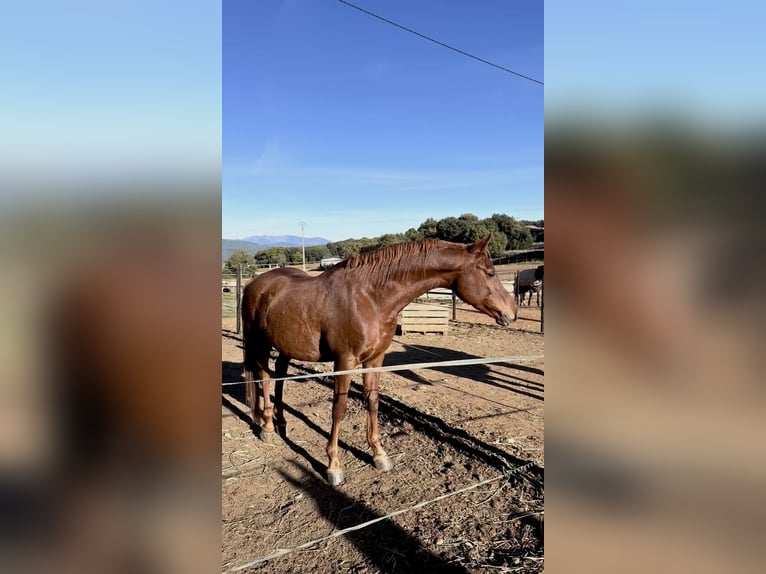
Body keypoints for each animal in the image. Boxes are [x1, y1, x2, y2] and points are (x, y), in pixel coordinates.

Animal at [241, 235, 517, 485]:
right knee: (264, 377)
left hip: (286, 345)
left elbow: (372, 401)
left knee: (279, 375)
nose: (512, 312)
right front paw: (333, 465)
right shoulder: (344, 362)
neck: (370, 297)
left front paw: (378, 454)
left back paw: (281, 423)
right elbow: (339, 409)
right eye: (490, 273)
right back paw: (267, 427)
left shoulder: (375, 359)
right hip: (259, 343)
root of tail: (254, 284)